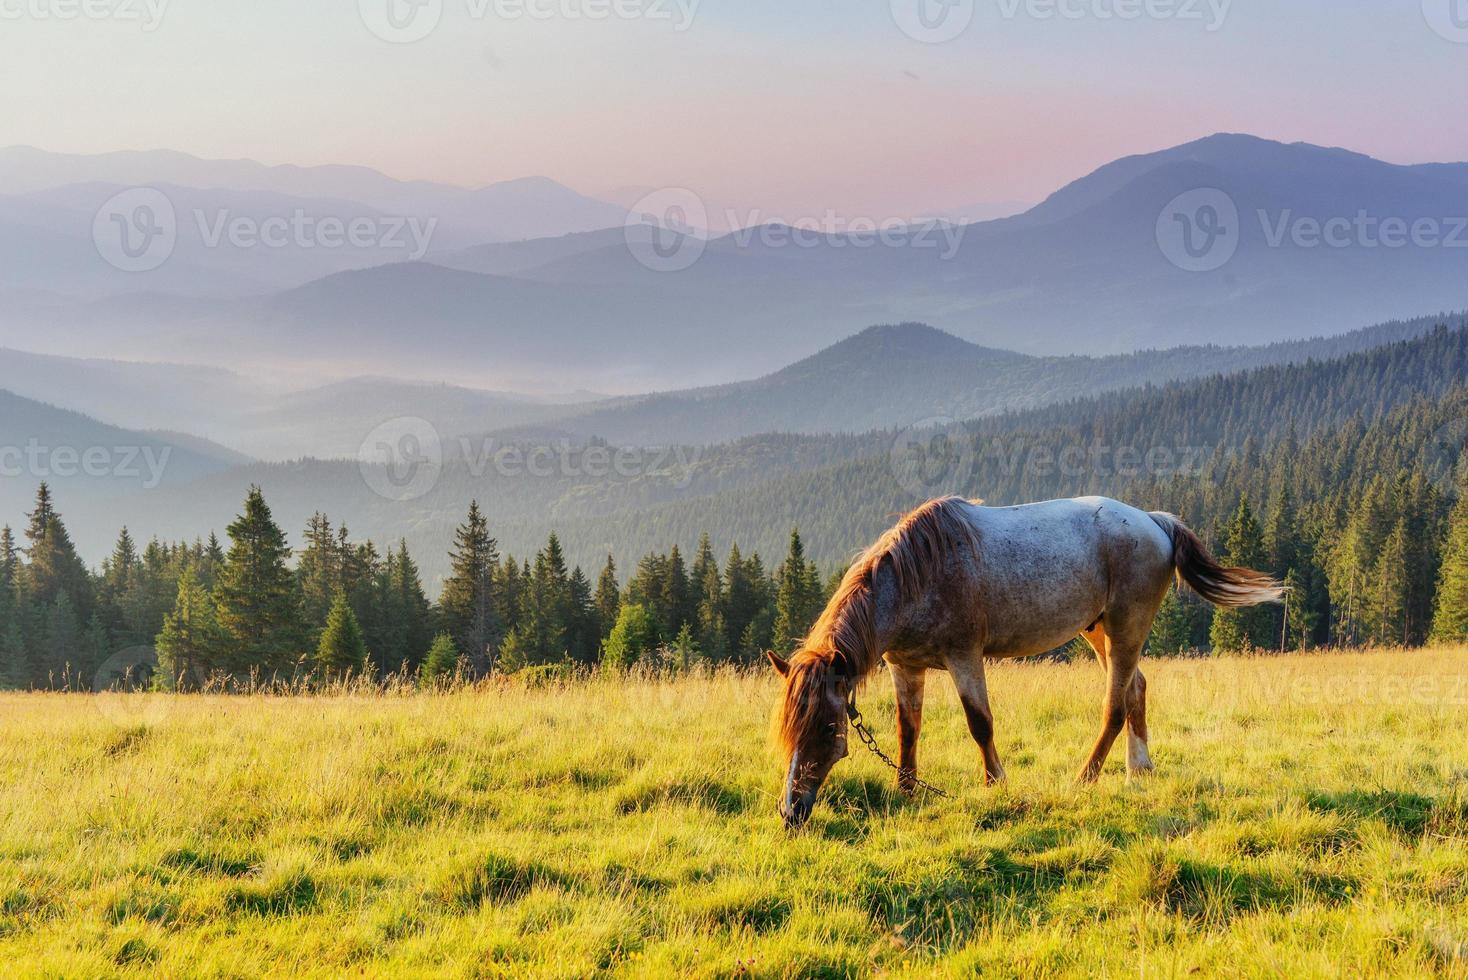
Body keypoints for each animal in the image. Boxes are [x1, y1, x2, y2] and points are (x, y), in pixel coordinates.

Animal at [769, 498, 1285, 827]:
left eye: (824, 727)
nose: (791, 812)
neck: (916, 578)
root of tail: (1154, 522)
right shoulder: (906, 666)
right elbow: (907, 730)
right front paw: (906, 790)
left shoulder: (964, 657)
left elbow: (980, 723)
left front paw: (996, 784)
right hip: (1099, 633)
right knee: (1136, 688)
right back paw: (1139, 769)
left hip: (1125, 630)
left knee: (1115, 706)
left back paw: (1086, 778)